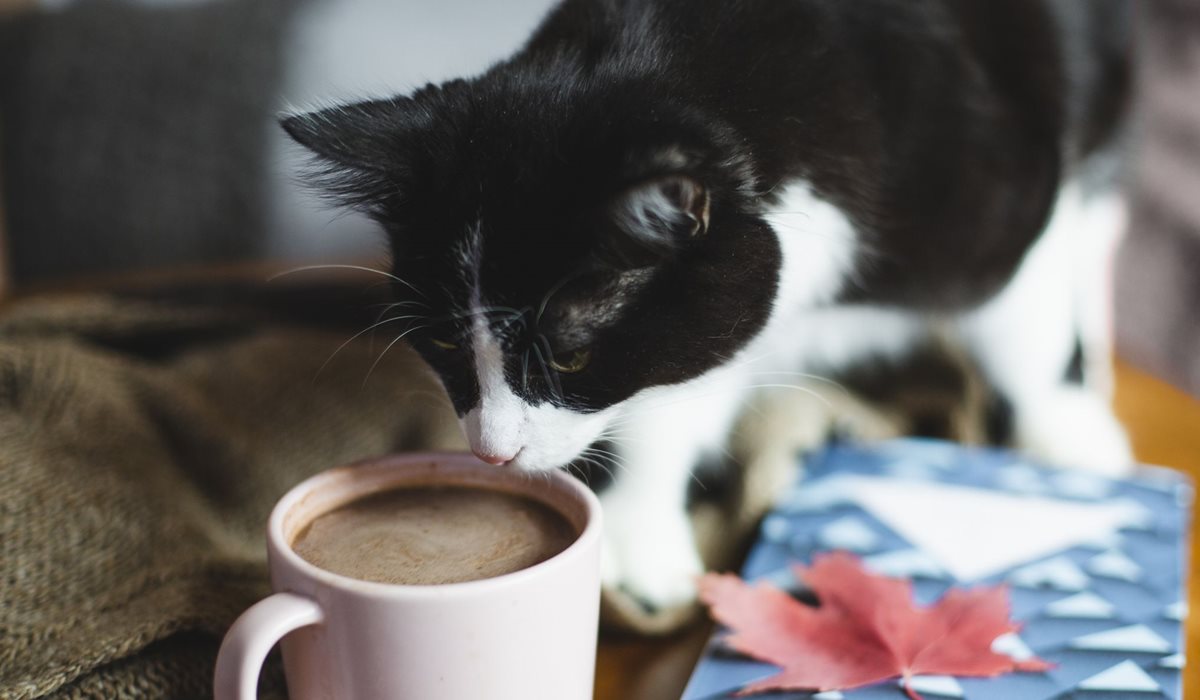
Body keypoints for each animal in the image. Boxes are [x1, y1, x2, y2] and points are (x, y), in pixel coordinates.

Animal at [280, 0, 1132, 614]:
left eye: (570, 354)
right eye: (449, 348)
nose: (491, 453)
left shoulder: (1000, 185)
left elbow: (1026, 316)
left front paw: (1072, 439)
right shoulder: (715, 306)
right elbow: (678, 385)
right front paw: (643, 536)